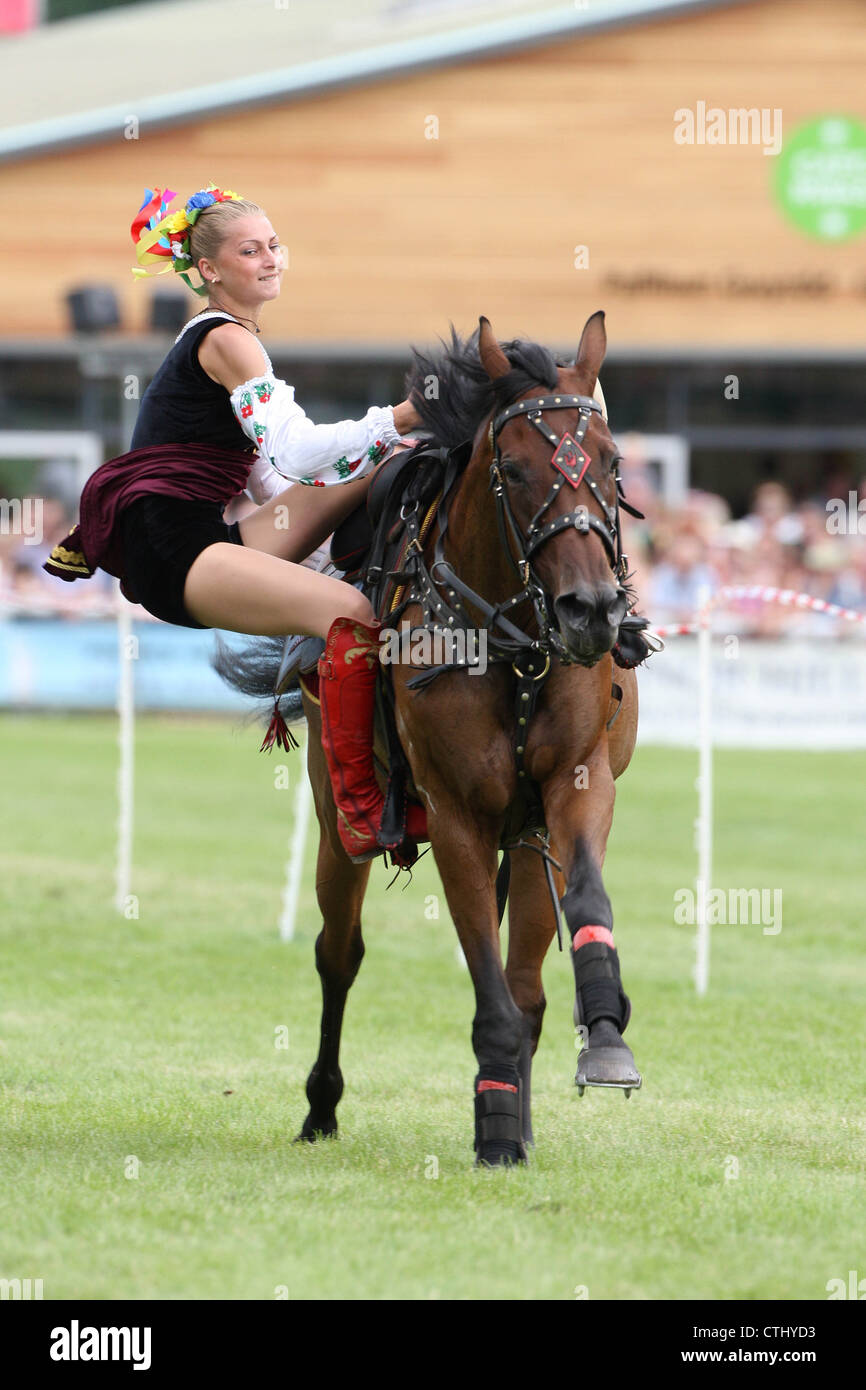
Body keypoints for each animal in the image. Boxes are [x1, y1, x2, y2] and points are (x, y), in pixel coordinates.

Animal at [218, 312, 644, 1162]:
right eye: (512, 469)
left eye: (613, 463)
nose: (591, 610)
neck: (515, 649)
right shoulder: (457, 817)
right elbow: (485, 987)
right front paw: (496, 1130)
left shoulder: (574, 787)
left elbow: (583, 903)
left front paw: (605, 1036)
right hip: (336, 821)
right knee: (338, 954)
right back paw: (322, 1106)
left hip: (525, 836)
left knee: (526, 983)